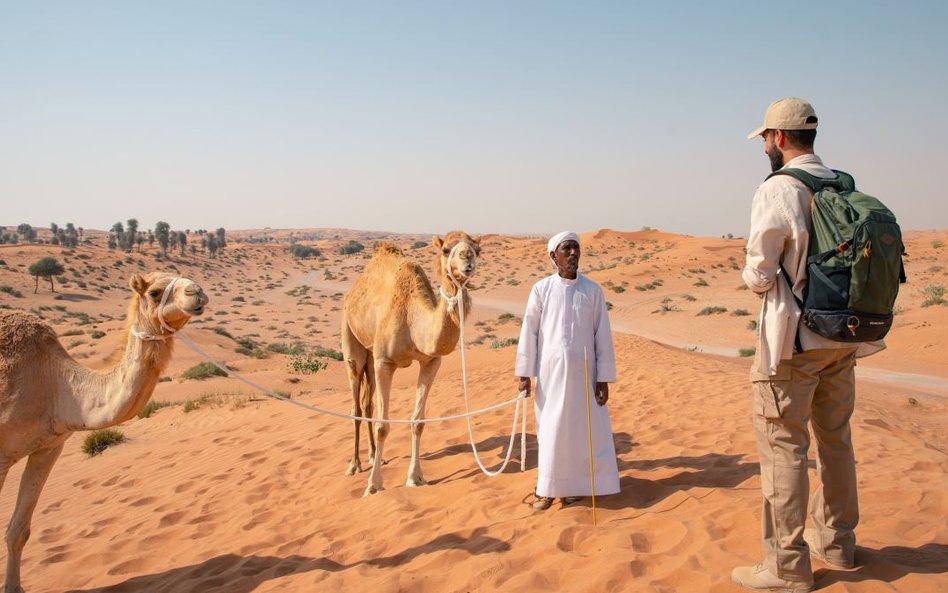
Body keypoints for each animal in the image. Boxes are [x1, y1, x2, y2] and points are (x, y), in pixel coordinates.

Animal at [0, 272, 206, 592]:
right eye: (155, 292)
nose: (197, 292)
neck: (55, 385)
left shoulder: (48, 446)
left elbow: (18, 530)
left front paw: (14, 588)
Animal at [338, 231, 478, 494]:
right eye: (446, 250)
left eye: (477, 249)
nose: (468, 259)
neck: (413, 322)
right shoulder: (385, 362)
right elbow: (383, 425)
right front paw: (374, 485)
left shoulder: (431, 362)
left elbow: (418, 422)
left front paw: (416, 477)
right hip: (351, 340)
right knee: (356, 405)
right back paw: (355, 465)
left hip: (371, 356)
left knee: (368, 403)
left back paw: (375, 456)